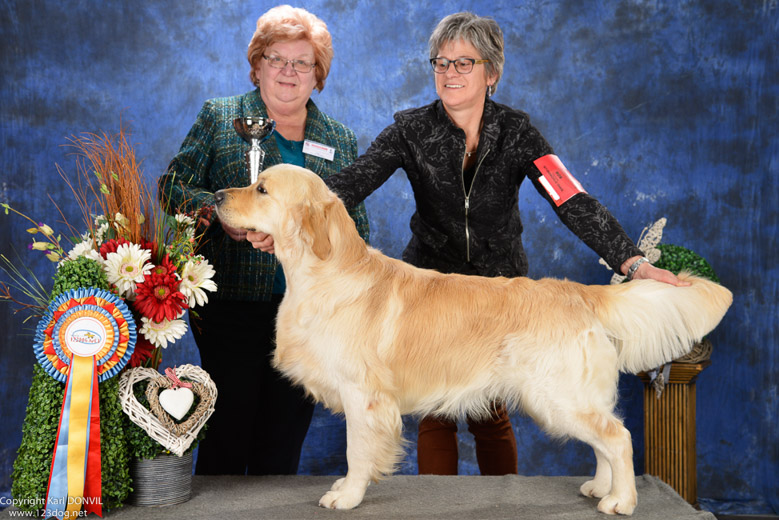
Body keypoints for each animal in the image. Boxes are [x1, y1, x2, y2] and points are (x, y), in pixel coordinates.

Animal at [213, 165, 732, 512]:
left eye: (261, 189)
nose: (216, 194)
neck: (323, 272)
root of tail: (578, 292)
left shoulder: (365, 397)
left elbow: (356, 452)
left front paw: (348, 495)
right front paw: (346, 490)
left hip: (557, 395)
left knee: (617, 437)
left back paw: (620, 501)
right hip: (572, 396)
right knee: (606, 437)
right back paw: (600, 487)